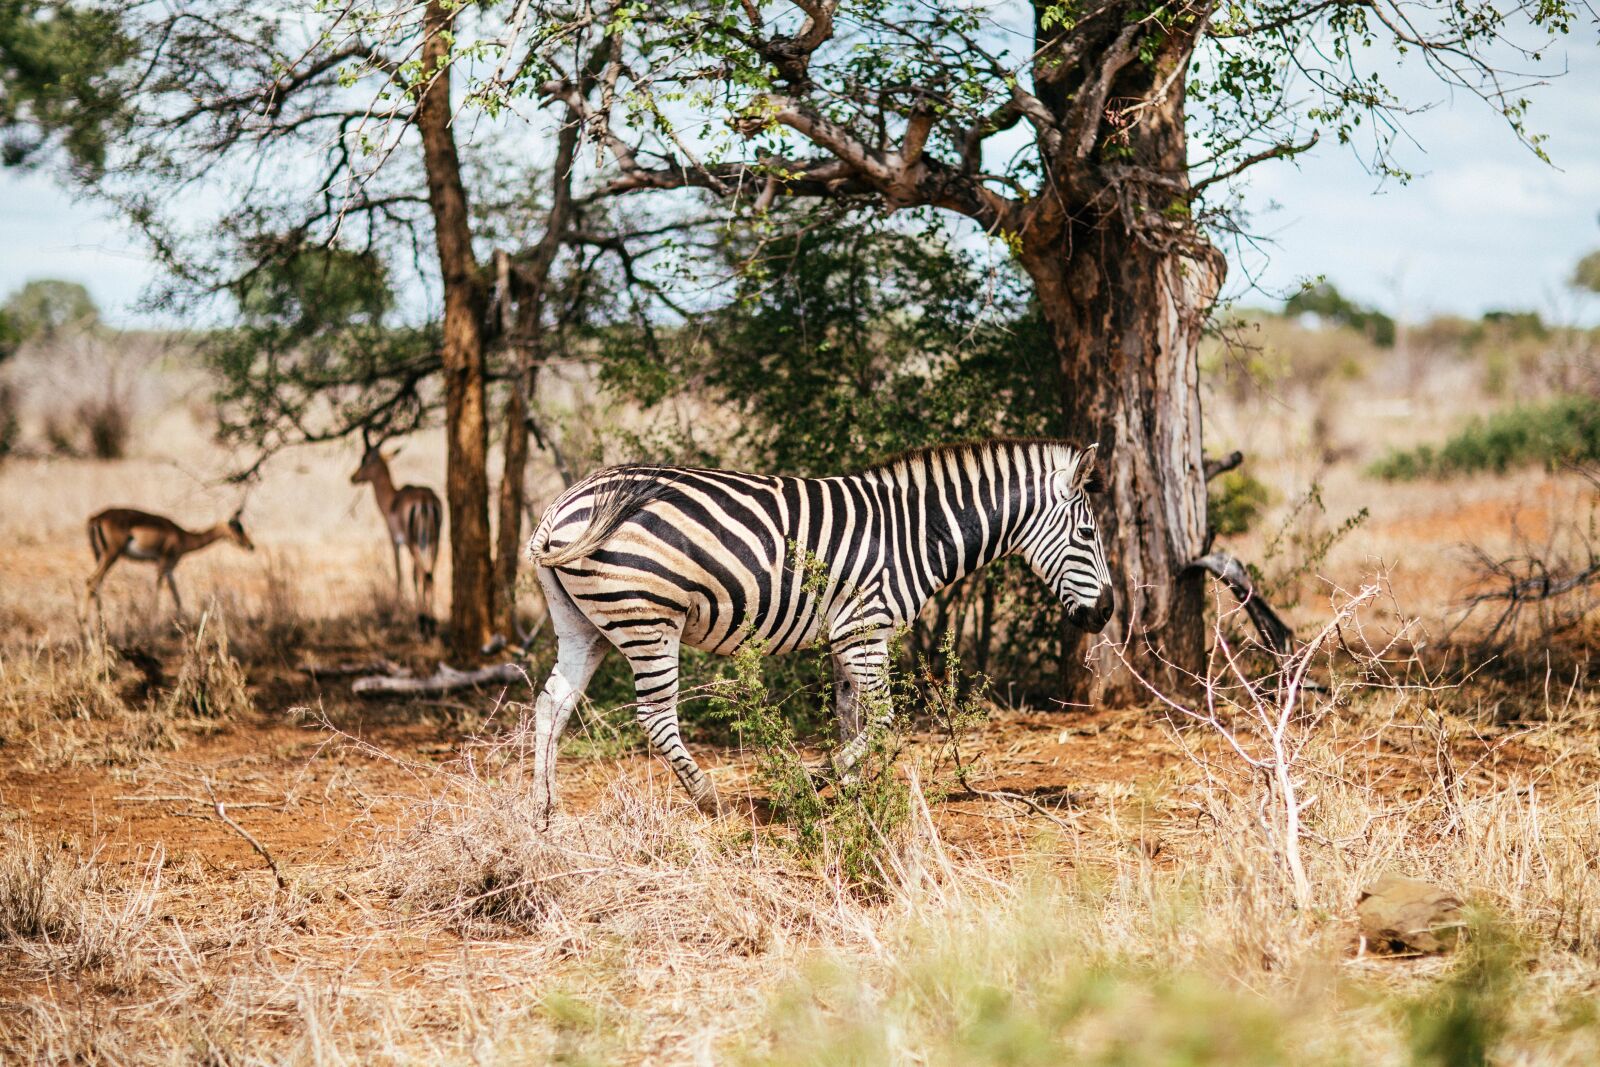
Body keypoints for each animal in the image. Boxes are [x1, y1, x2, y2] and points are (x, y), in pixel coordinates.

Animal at [86, 507, 255, 618]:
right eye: (237, 527)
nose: (250, 545)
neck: (182, 536)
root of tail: (96, 518)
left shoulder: (170, 568)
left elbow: (176, 596)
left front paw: (183, 620)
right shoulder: (163, 563)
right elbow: (159, 590)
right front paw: (153, 621)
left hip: (100, 556)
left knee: (94, 584)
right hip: (111, 554)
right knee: (92, 582)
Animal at [350, 429, 443, 637]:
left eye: (365, 459)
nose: (353, 477)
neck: (392, 499)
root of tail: (424, 500)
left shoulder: (395, 540)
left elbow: (400, 573)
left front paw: (396, 616)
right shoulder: (423, 543)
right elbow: (415, 574)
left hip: (412, 542)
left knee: (422, 574)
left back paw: (423, 622)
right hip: (434, 541)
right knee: (430, 574)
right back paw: (431, 622)